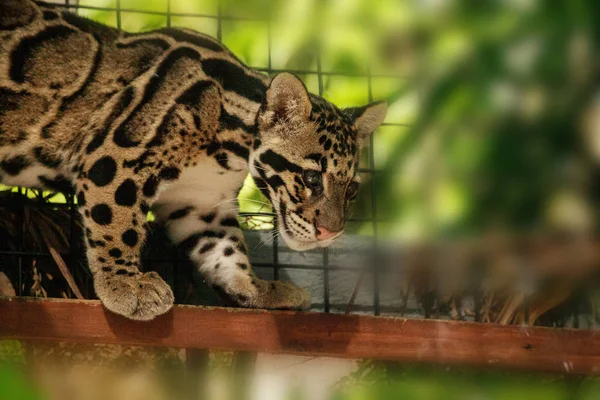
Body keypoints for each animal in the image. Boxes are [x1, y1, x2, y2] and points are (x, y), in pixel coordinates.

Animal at [0, 0, 386, 318]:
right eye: (310, 178)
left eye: (352, 190)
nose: (330, 233)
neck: (227, 148)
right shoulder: (114, 154)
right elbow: (116, 221)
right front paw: (125, 284)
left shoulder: (200, 201)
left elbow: (226, 248)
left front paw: (255, 288)